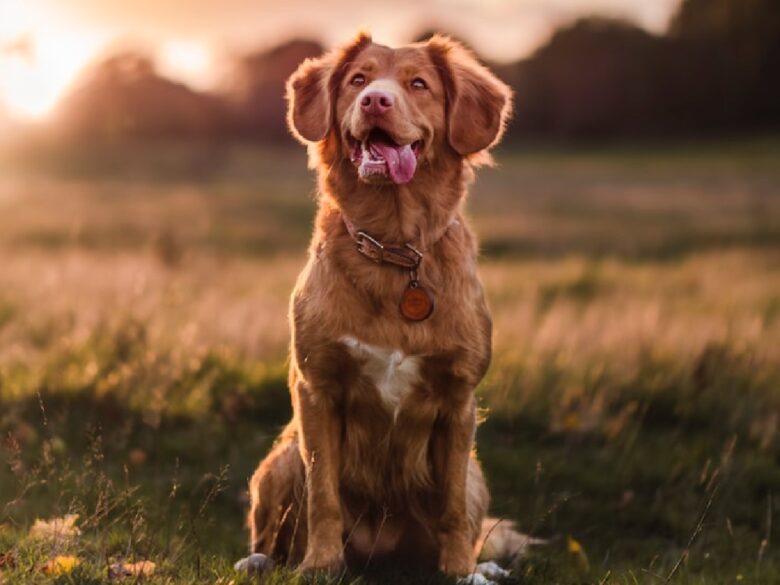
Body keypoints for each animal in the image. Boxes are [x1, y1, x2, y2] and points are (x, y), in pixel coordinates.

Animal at [235, 30, 520, 580]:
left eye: (418, 84)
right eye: (357, 79)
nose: (375, 101)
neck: (394, 248)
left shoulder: (459, 400)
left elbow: (453, 508)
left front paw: (459, 571)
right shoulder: (317, 390)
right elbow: (323, 496)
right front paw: (320, 565)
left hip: (477, 474)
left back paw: (484, 568)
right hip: (279, 459)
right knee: (271, 531)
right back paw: (259, 560)